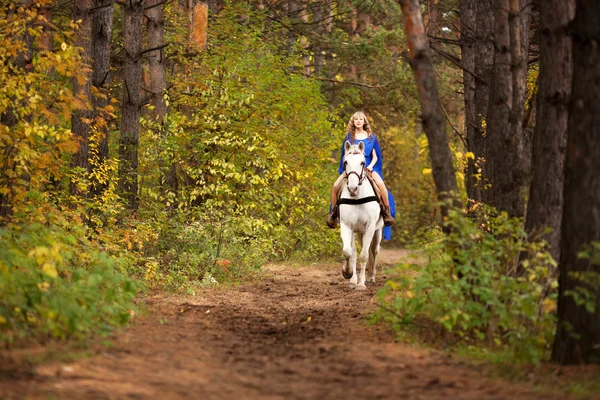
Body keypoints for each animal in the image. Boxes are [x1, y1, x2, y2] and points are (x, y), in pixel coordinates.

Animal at [340, 141, 382, 290]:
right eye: (346, 162)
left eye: (362, 163)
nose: (353, 188)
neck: (357, 198)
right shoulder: (347, 226)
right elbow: (349, 252)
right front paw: (348, 274)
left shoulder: (370, 227)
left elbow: (364, 255)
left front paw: (362, 284)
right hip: (358, 232)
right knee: (355, 251)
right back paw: (354, 279)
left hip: (377, 231)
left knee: (374, 251)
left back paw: (371, 277)